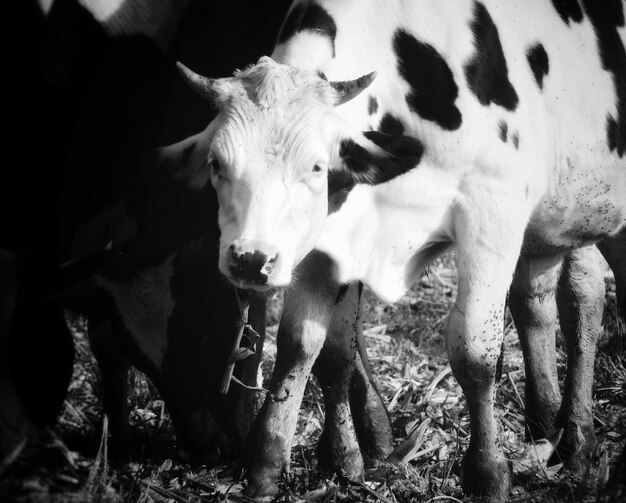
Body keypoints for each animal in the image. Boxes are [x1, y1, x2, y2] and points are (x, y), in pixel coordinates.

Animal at [174, 0, 624, 500]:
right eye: (217, 163)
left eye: (316, 166)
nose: (251, 259)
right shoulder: (327, 239)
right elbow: (308, 346)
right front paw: (273, 463)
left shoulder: (494, 210)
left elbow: (474, 351)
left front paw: (488, 472)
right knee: (540, 301)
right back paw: (548, 426)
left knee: (582, 299)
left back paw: (578, 437)